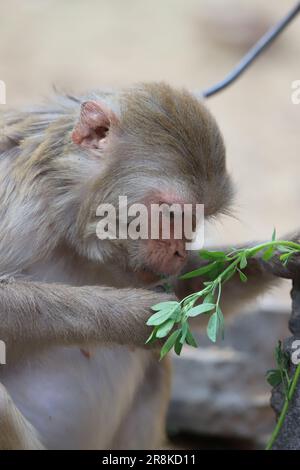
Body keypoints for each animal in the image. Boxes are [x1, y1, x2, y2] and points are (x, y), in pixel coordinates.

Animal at [0, 82, 298, 450]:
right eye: (171, 214)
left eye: (197, 218)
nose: (180, 252)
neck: (65, 208)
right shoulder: (15, 202)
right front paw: (135, 314)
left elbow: (184, 286)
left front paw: (279, 252)